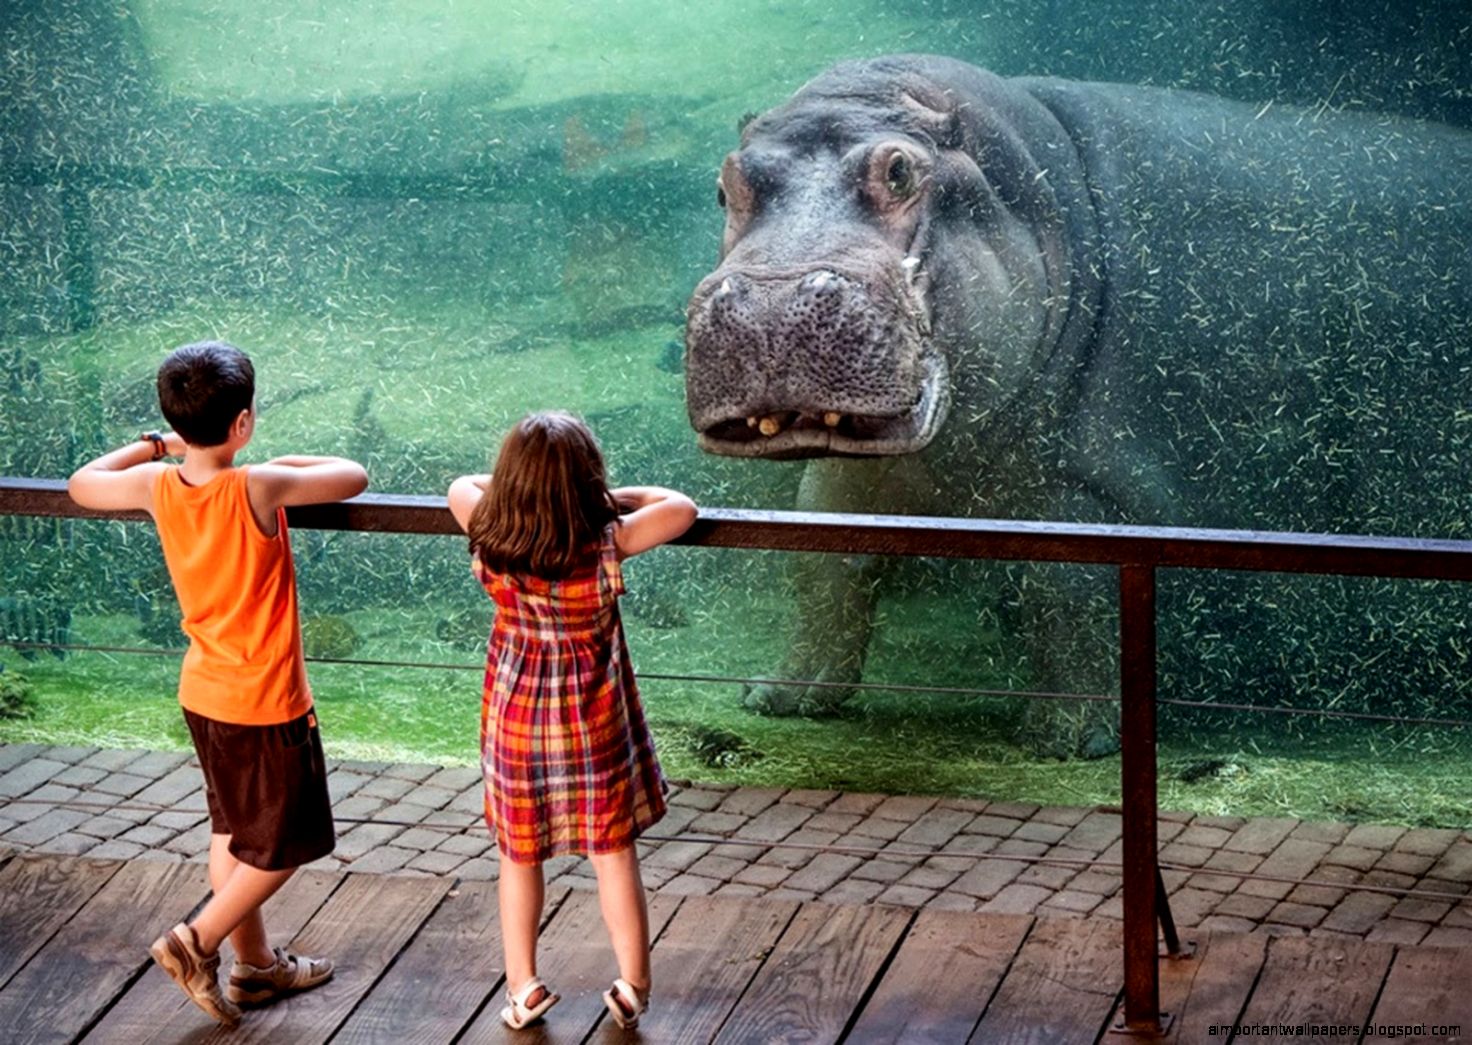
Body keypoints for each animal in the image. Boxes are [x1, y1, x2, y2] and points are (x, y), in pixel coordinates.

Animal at [684, 54, 1472, 758]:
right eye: (727, 183)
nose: (773, 302)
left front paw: (1063, 742)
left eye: (900, 170)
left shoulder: (1085, 480)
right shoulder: (867, 469)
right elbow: (824, 562)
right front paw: (779, 697)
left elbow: (1063, 588)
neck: (1052, 193)